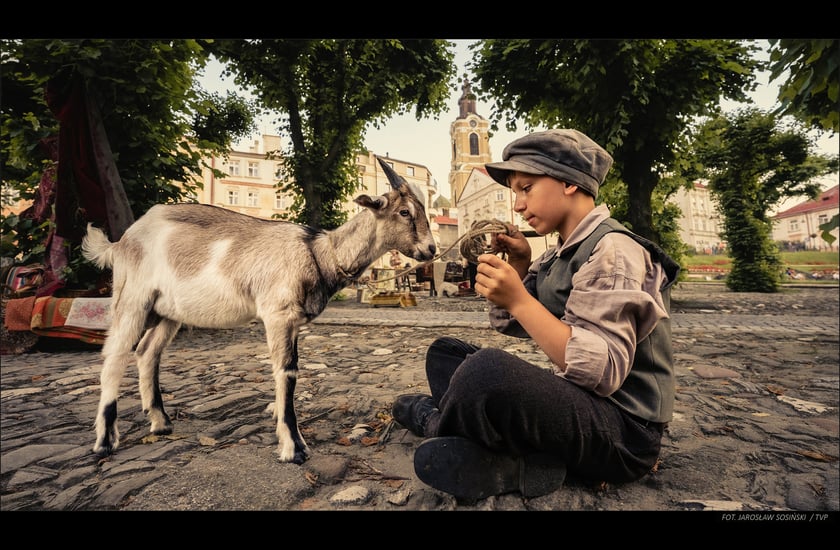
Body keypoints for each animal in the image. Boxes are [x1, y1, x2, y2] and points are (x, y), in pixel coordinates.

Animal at [81, 157, 436, 464]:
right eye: (404, 212)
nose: (431, 249)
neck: (319, 253)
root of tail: (120, 242)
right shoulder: (278, 314)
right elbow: (287, 372)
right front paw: (293, 447)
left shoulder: (293, 322)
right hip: (132, 297)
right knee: (115, 356)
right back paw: (105, 441)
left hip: (167, 311)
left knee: (147, 352)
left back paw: (160, 422)